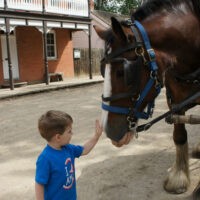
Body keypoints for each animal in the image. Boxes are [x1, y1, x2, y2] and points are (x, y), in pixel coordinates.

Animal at [94, 0, 200, 198]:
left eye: (124, 72)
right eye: (102, 70)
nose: (109, 131)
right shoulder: (174, 100)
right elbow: (179, 134)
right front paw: (179, 177)